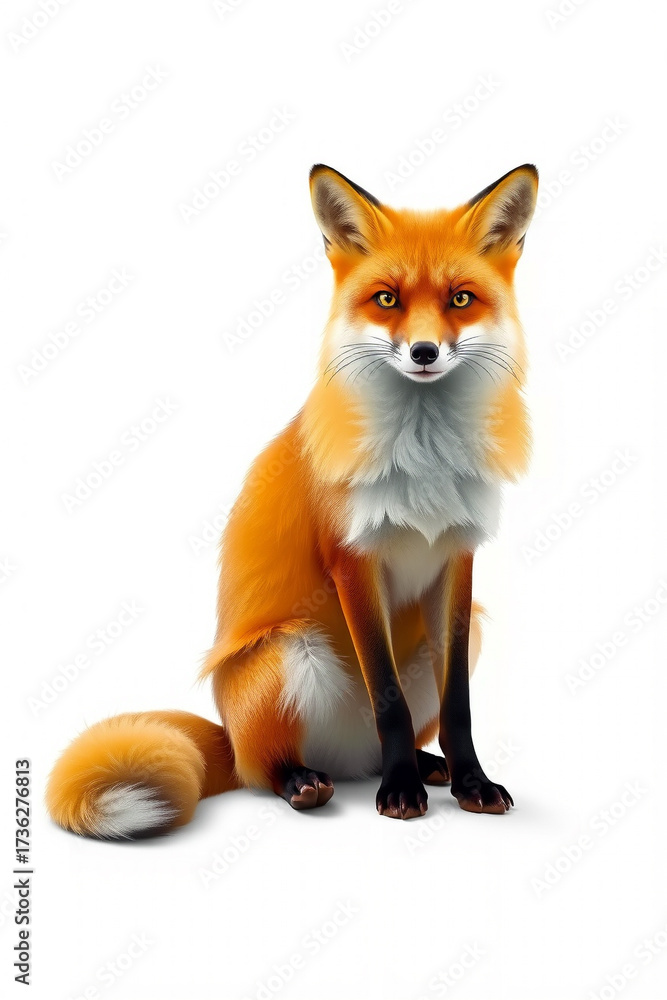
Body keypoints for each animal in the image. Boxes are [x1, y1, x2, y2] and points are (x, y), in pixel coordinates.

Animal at [47, 162, 538, 837]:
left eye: (460, 299)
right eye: (387, 299)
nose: (423, 353)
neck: (424, 456)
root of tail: (231, 737)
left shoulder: (457, 557)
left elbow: (458, 704)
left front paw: (471, 783)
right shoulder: (352, 558)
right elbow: (386, 697)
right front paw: (400, 794)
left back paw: (420, 763)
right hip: (289, 649)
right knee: (269, 770)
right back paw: (311, 780)